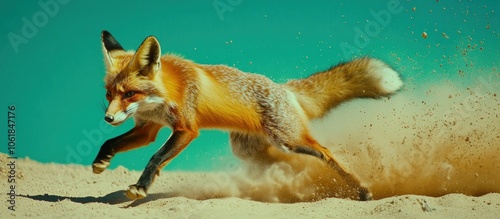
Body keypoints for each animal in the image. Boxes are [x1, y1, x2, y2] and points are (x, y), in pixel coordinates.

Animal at [94, 30, 404, 200]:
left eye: (129, 93)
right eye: (109, 94)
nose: (108, 119)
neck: (167, 92)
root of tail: (284, 88)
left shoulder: (186, 129)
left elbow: (156, 158)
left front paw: (140, 187)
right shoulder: (147, 128)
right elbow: (111, 143)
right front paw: (101, 161)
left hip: (288, 140)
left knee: (326, 152)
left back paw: (361, 190)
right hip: (251, 150)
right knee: (286, 165)